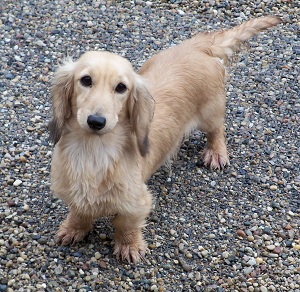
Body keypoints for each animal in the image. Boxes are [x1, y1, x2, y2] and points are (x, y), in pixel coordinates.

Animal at [48, 15, 282, 262]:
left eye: (121, 87)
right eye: (85, 80)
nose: (96, 121)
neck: (92, 151)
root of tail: (195, 47)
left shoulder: (137, 203)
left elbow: (126, 224)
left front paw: (129, 246)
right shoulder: (72, 193)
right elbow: (79, 211)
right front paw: (73, 228)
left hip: (210, 113)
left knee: (217, 129)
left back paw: (216, 151)